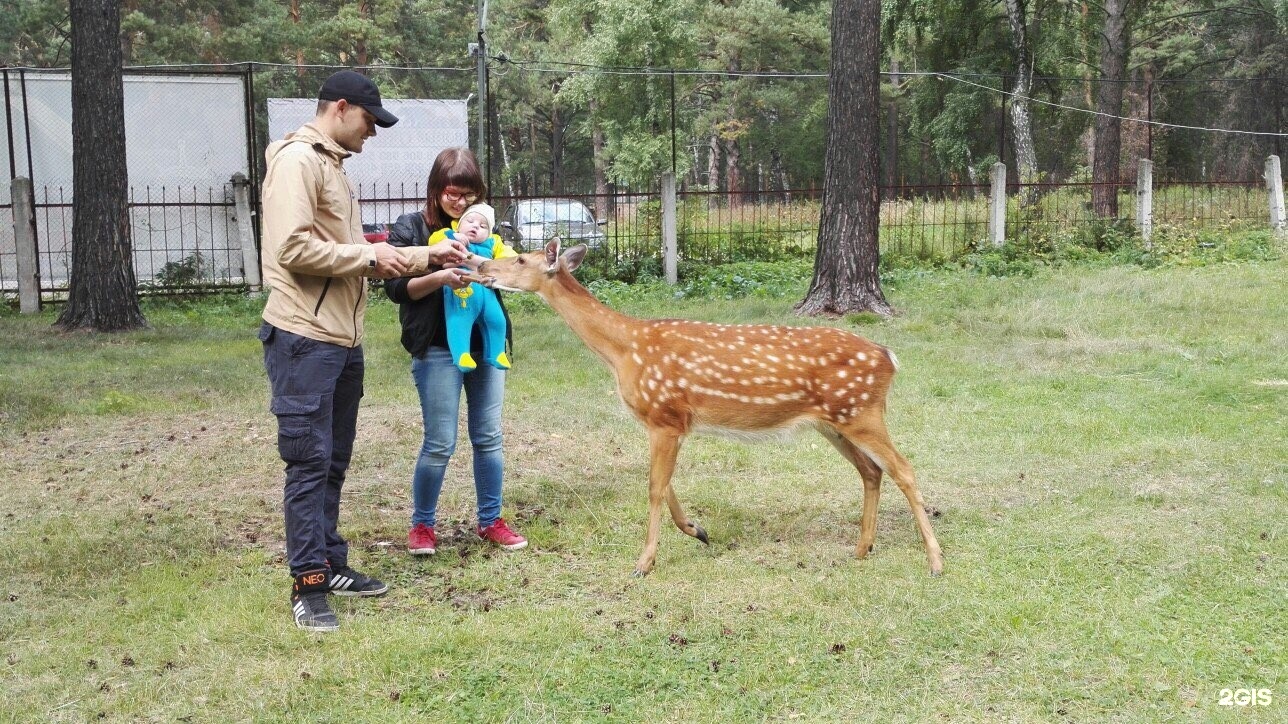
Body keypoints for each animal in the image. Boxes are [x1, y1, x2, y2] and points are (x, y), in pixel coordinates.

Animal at [479, 239, 942, 577]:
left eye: (520, 258)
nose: (481, 268)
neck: (625, 349)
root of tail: (888, 357)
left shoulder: (665, 416)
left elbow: (653, 488)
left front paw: (643, 563)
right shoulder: (664, 420)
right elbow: (664, 485)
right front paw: (697, 531)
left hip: (862, 411)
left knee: (903, 469)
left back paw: (935, 560)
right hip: (835, 421)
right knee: (872, 471)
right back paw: (862, 549)